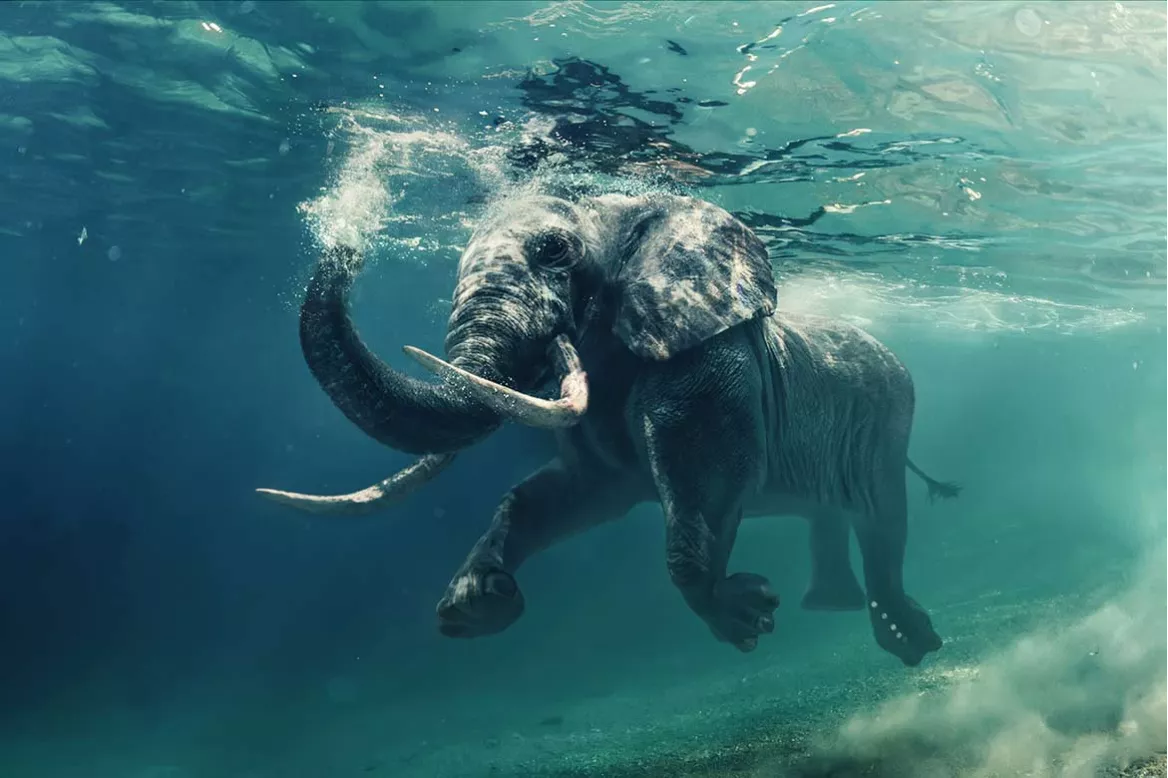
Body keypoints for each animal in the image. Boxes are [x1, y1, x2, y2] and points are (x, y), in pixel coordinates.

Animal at [257, 191, 961, 667]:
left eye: (553, 251)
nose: (347, 239)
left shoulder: (709, 361)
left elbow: (708, 480)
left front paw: (746, 616)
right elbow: (559, 495)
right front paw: (476, 606)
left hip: (890, 419)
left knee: (883, 521)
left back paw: (909, 641)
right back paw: (836, 609)